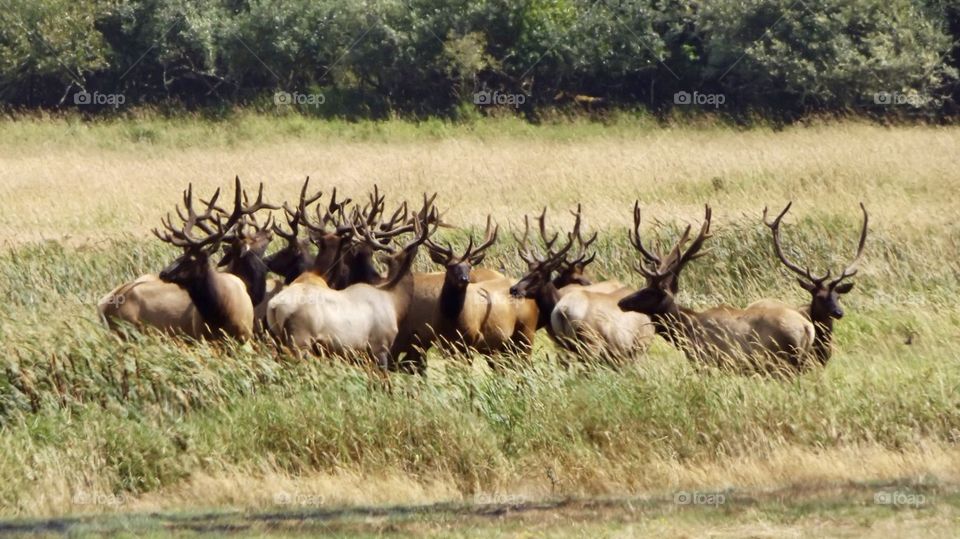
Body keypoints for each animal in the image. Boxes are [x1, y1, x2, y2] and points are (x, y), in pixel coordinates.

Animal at [617, 204, 816, 373]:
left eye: (649, 291)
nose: (621, 302)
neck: (687, 331)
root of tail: (807, 328)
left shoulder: (709, 361)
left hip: (785, 361)